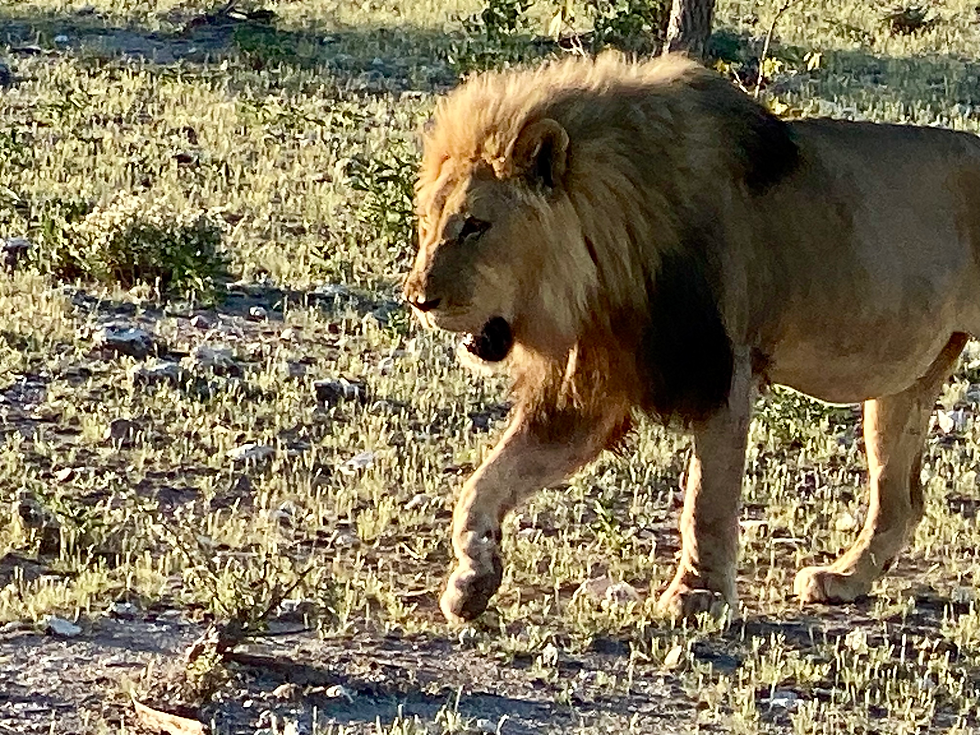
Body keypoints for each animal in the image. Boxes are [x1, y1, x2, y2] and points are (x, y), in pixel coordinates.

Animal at [402, 52, 980, 623]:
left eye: (475, 226)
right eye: (428, 223)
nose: (417, 299)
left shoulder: (720, 366)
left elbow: (707, 497)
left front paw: (696, 594)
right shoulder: (589, 389)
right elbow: (487, 480)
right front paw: (471, 577)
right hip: (907, 381)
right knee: (901, 501)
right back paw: (843, 580)